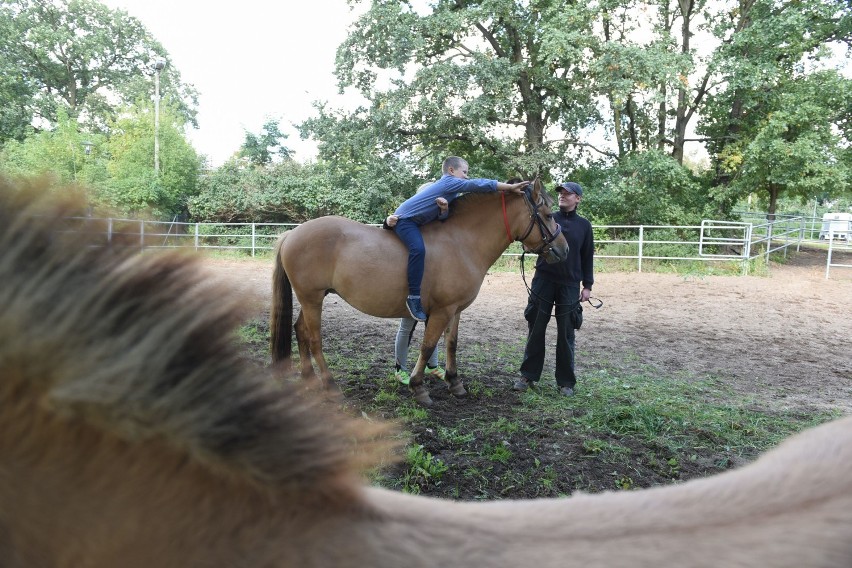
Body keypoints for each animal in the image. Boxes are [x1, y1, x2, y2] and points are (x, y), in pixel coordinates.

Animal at [272, 180, 564, 406]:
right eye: (549, 215)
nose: (565, 250)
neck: (461, 242)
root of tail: (292, 234)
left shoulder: (455, 310)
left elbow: (451, 344)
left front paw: (454, 383)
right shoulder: (442, 311)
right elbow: (427, 346)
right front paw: (418, 386)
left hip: (312, 298)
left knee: (300, 331)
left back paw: (309, 380)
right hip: (312, 299)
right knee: (314, 340)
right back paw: (330, 386)